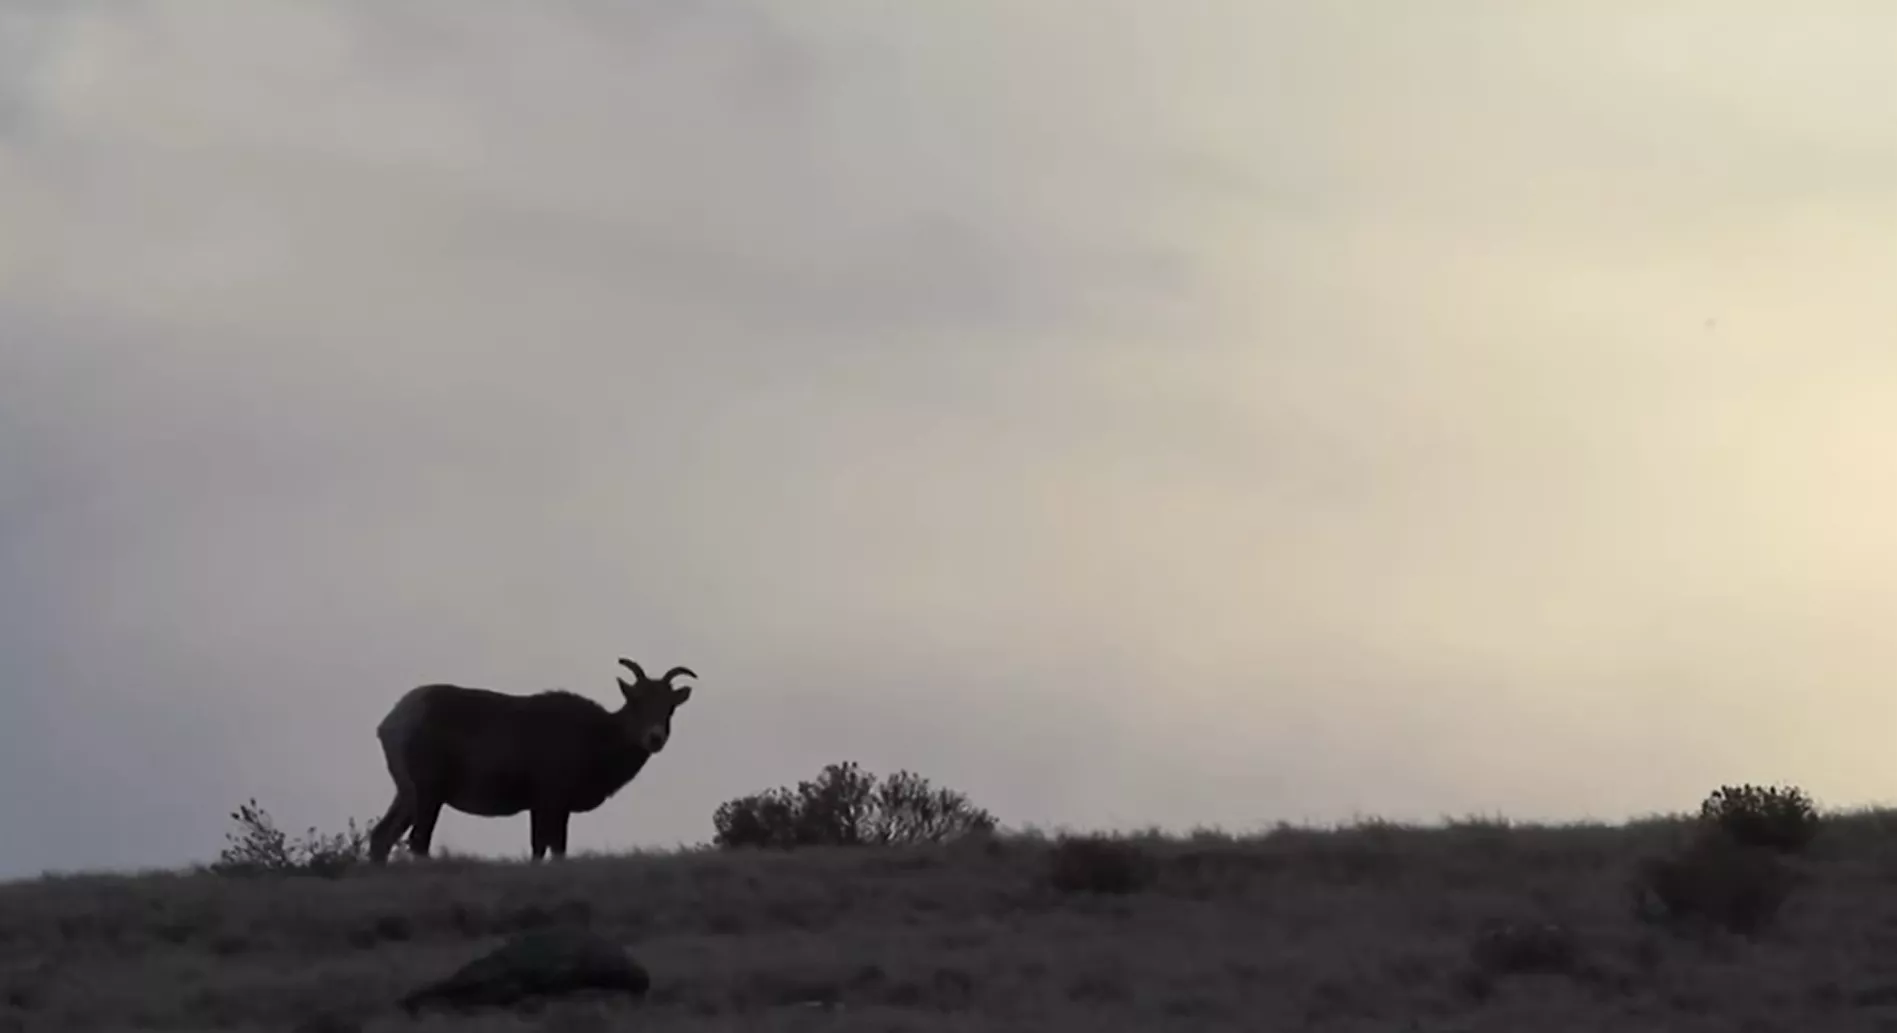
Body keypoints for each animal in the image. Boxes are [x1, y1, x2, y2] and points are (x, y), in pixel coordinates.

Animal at [367, 657, 697, 864]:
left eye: (669, 706)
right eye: (636, 701)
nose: (654, 738)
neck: (595, 738)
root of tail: (395, 721)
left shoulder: (545, 807)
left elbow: (544, 849)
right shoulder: (551, 802)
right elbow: (551, 847)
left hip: (408, 795)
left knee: (382, 836)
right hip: (429, 795)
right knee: (418, 840)